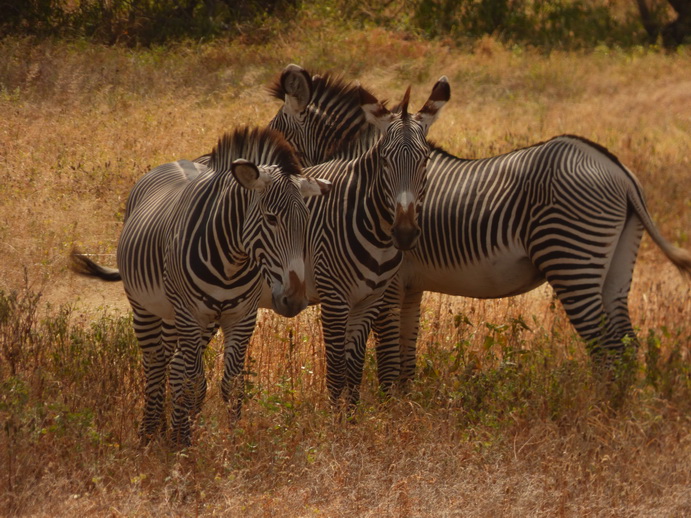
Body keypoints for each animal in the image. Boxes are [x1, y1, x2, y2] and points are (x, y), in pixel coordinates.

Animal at [71, 126, 331, 446]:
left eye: (306, 220)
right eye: (271, 218)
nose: (294, 301)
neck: (232, 261)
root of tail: (174, 162)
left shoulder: (241, 317)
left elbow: (233, 384)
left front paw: (230, 444)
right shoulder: (190, 315)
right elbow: (194, 383)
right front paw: (185, 445)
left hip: (184, 317)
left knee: (173, 364)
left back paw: (166, 429)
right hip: (146, 307)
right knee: (155, 364)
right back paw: (149, 432)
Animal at [265, 64, 691, 393]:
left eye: (275, 133)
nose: (406, 235)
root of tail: (615, 169)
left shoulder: (388, 287)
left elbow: (386, 360)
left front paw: (385, 412)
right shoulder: (410, 287)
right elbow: (405, 361)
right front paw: (402, 409)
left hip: (571, 259)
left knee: (606, 349)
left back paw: (597, 417)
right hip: (616, 266)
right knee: (627, 346)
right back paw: (619, 415)